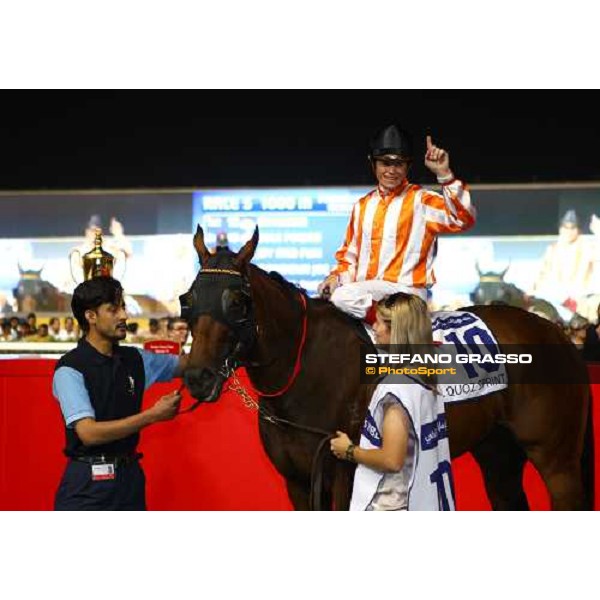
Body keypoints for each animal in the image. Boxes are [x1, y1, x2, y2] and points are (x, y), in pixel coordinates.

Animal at [184, 225, 596, 510]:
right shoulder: (297, 480)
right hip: (498, 453)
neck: (305, 367)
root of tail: (556, 332)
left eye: (237, 302)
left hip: (556, 459)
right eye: (187, 299)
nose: (196, 377)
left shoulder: (343, 472)